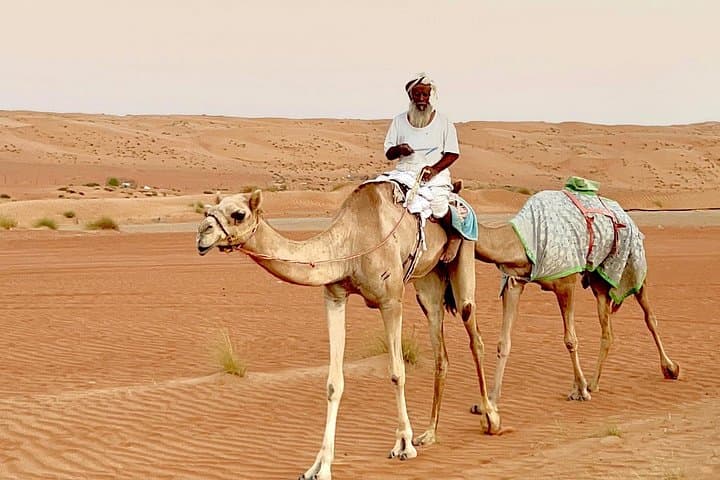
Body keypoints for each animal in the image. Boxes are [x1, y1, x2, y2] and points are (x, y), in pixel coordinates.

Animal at [195, 182, 500, 480]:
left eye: (238, 214)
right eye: (208, 210)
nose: (202, 233)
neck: (351, 244)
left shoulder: (391, 299)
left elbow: (397, 372)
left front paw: (403, 444)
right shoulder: (334, 296)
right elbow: (334, 383)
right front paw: (319, 467)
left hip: (463, 260)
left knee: (474, 333)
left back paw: (491, 419)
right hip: (428, 282)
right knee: (440, 349)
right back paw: (430, 434)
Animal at [472, 190, 680, 407]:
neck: (525, 238)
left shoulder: (566, 283)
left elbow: (570, 339)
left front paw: (580, 390)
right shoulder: (515, 281)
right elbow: (503, 341)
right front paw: (490, 401)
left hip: (633, 264)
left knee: (649, 317)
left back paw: (670, 368)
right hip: (599, 281)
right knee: (608, 331)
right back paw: (593, 383)